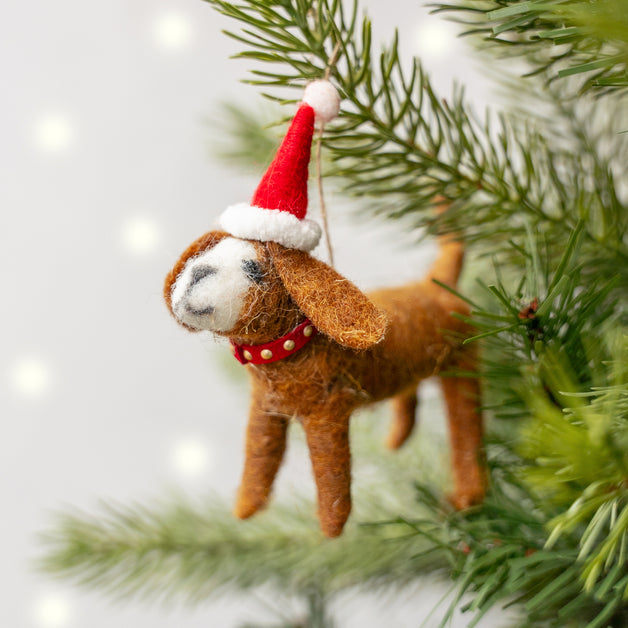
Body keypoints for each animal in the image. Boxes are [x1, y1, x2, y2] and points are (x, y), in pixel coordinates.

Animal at [163, 228, 486, 536]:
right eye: (204, 254)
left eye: (254, 269)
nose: (199, 271)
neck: (294, 348)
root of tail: (435, 285)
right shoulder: (265, 410)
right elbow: (259, 458)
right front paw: (246, 505)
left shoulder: (325, 418)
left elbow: (331, 475)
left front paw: (332, 526)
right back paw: (398, 437)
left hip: (462, 368)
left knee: (466, 430)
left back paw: (467, 495)